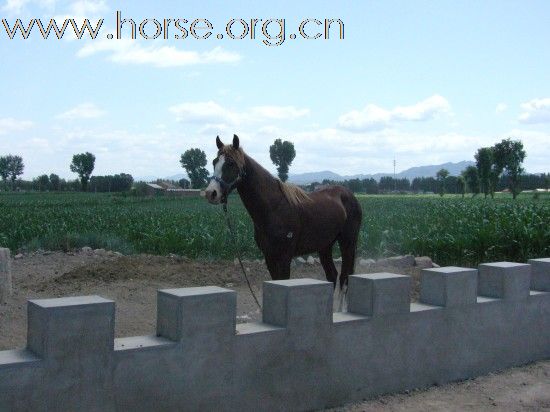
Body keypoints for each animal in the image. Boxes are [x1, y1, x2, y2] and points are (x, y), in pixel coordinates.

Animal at [205, 135, 364, 290]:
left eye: (231, 163)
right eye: (214, 162)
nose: (210, 193)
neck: (274, 207)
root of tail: (349, 194)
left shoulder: (284, 257)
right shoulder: (269, 256)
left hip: (348, 242)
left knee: (345, 278)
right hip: (325, 245)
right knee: (332, 275)